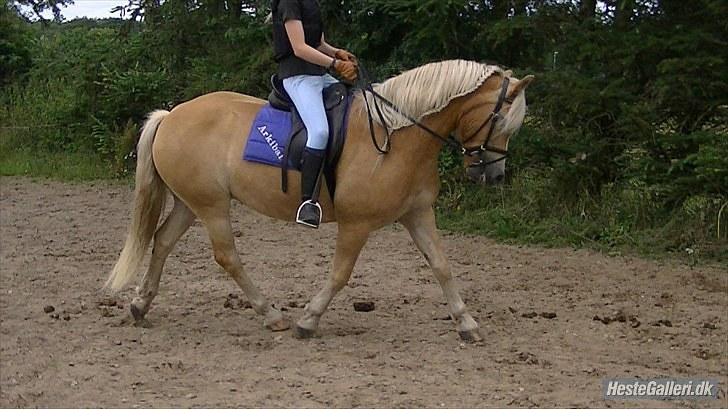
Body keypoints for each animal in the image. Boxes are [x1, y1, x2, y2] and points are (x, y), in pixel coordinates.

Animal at [105, 59, 532, 342]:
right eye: (499, 120)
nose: (492, 175)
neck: (397, 136)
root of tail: (171, 115)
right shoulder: (356, 224)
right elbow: (340, 274)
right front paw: (308, 320)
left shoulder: (417, 212)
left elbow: (442, 266)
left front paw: (467, 324)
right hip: (211, 206)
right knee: (227, 256)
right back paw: (271, 314)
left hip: (191, 202)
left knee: (162, 241)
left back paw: (140, 306)